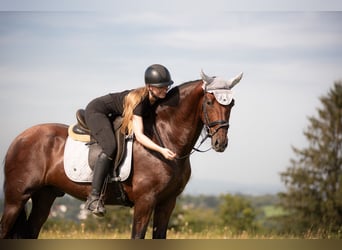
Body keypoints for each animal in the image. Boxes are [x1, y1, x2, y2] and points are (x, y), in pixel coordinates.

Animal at [0, 70, 242, 238]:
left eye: (231, 104)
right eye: (209, 101)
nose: (221, 143)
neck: (165, 136)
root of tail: (19, 138)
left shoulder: (167, 202)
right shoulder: (145, 201)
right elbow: (137, 236)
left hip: (45, 196)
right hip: (16, 198)